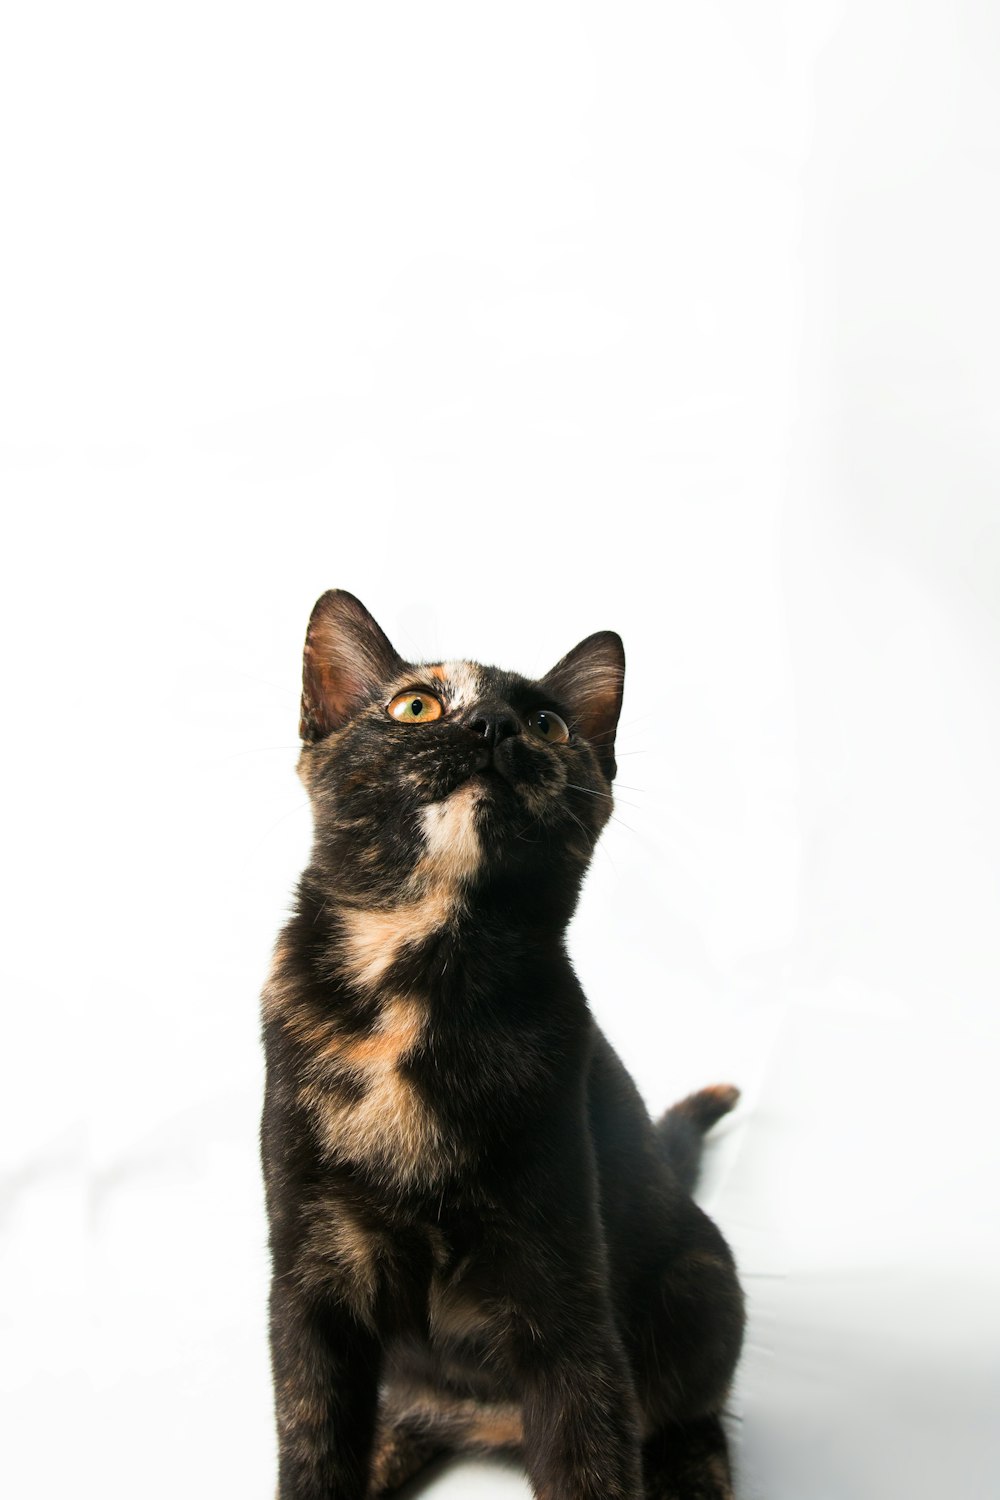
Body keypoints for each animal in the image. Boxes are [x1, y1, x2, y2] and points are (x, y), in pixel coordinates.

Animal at [262, 591, 746, 1494]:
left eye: (549, 723)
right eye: (415, 706)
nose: (492, 724)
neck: (423, 983)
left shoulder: (562, 1295)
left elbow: (592, 1461)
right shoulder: (309, 1285)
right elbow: (313, 1448)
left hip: (704, 1283)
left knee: (693, 1420)